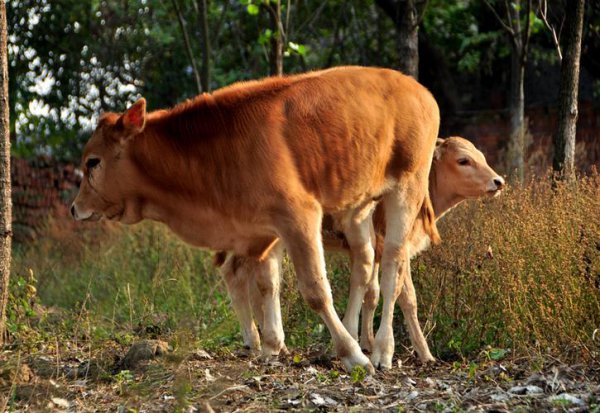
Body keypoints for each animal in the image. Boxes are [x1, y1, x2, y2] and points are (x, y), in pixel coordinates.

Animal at [71, 67, 440, 370]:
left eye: (93, 162)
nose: (75, 208)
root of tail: (418, 89)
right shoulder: (264, 229)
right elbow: (267, 284)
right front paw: (272, 345)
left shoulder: (299, 217)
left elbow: (315, 290)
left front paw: (352, 355)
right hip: (358, 206)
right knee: (364, 266)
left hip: (406, 190)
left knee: (392, 268)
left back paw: (380, 350)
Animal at [218, 138, 504, 366]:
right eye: (463, 160)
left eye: (481, 156)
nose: (498, 181)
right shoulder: (393, 246)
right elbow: (406, 297)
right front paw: (423, 353)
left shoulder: (376, 252)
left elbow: (372, 294)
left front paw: (367, 342)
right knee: (240, 275)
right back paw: (255, 341)